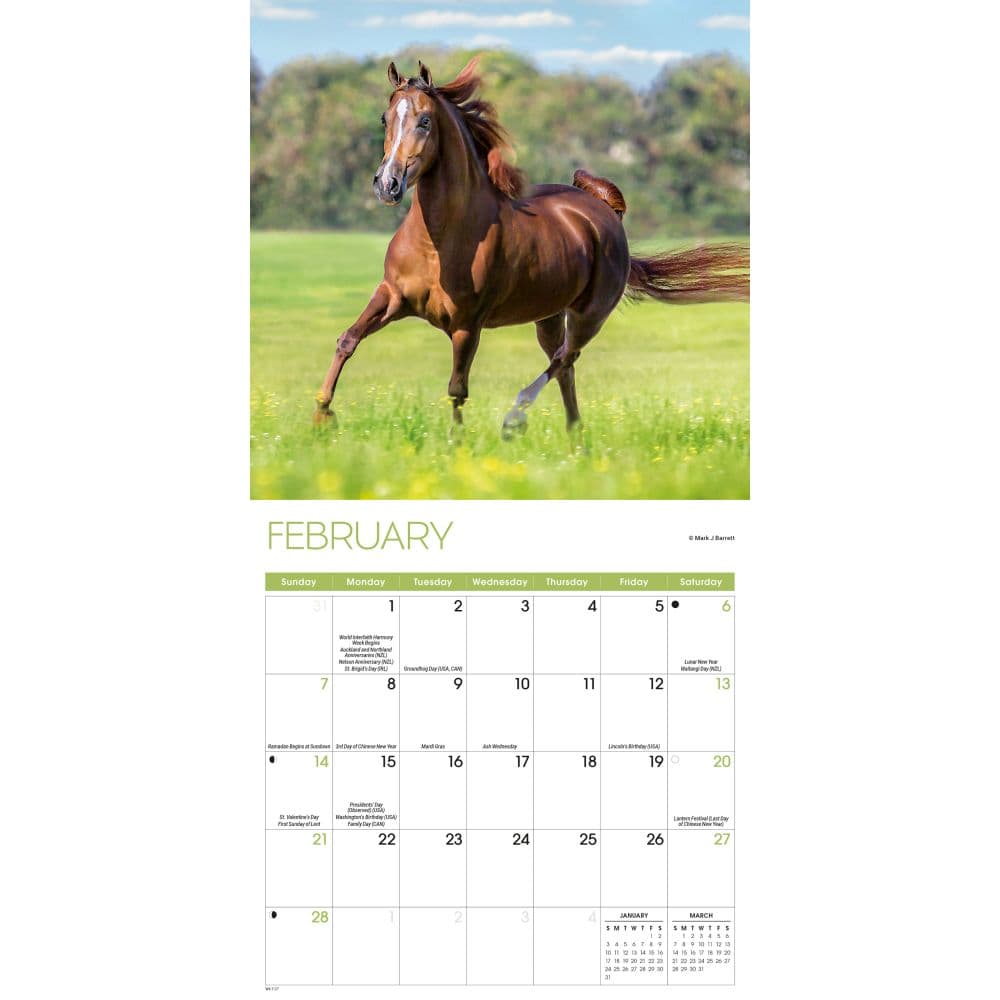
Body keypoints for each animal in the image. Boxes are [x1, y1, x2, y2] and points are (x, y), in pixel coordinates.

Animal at [314, 58, 749, 437]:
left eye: (424, 120)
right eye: (385, 118)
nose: (387, 184)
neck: (438, 240)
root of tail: (605, 213)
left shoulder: (467, 324)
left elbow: (457, 388)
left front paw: (456, 443)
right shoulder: (392, 296)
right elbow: (347, 340)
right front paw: (321, 415)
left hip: (590, 315)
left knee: (565, 358)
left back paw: (515, 419)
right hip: (549, 316)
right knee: (565, 367)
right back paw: (575, 437)